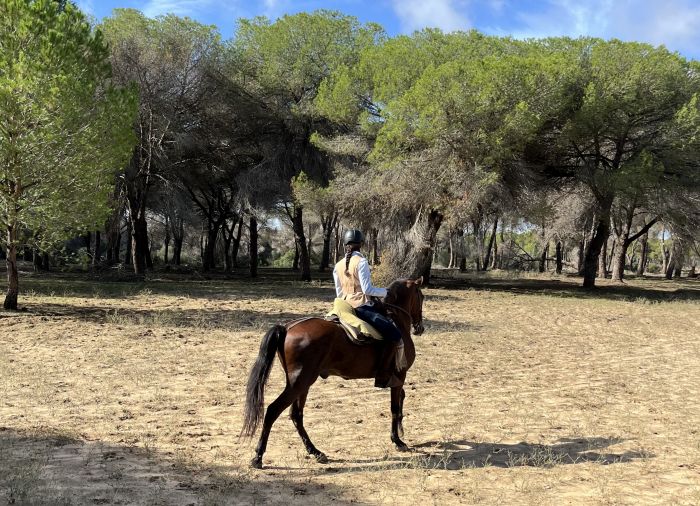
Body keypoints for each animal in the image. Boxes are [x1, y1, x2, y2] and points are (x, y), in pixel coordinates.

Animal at [241, 276, 426, 470]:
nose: (419, 328)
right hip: (299, 382)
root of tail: (287, 328)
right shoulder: (400, 375)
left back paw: (315, 451)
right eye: (421, 296)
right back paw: (258, 457)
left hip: (302, 384)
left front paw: (400, 433)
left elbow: (401, 399)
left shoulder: (396, 378)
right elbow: (394, 408)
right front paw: (398, 441)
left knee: (296, 415)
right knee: (272, 411)